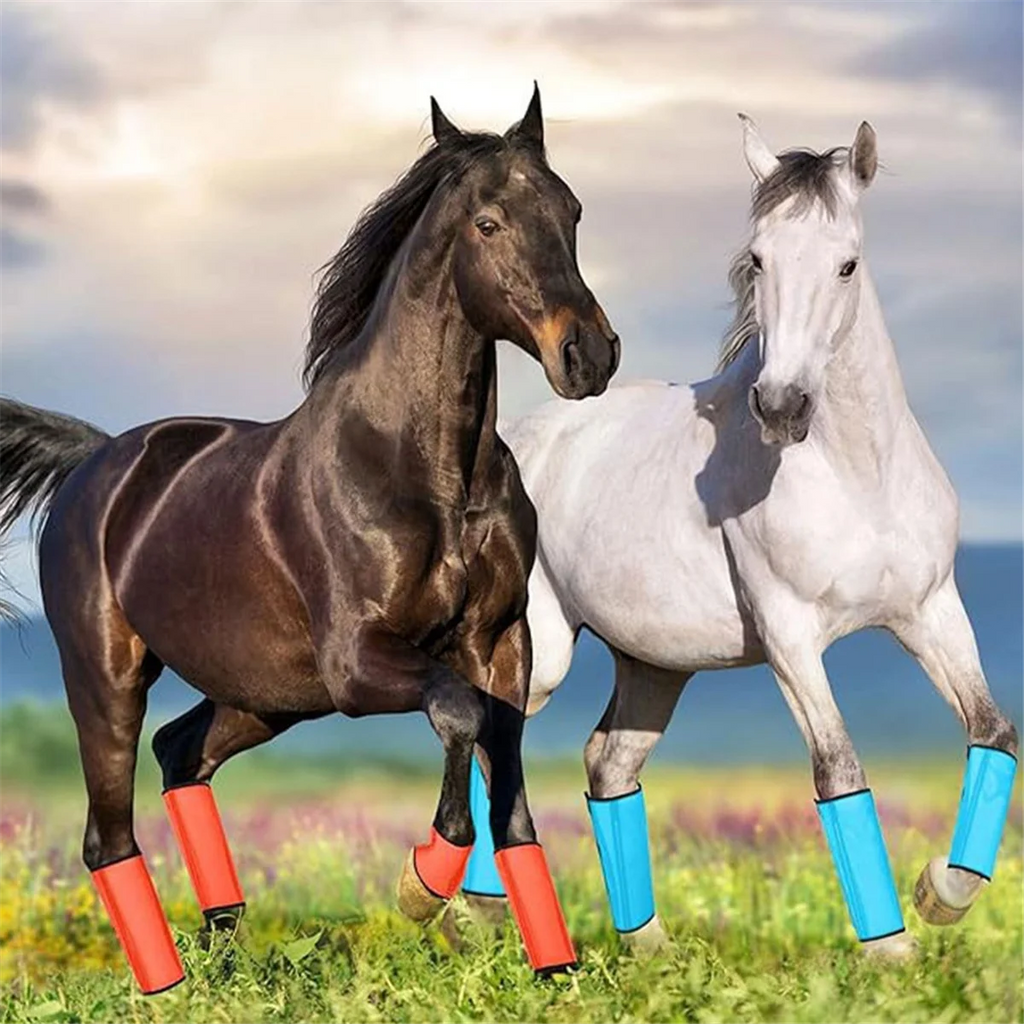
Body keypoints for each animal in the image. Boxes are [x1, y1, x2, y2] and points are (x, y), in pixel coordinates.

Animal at [0, 86, 620, 992]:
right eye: (489, 222)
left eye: (572, 210)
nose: (590, 355)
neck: (428, 472)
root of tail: (95, 461)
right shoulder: (359, 661)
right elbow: (458, 715)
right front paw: (421, 884)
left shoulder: (501, 643)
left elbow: (510, 798)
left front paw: (556, 972)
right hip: (109, 679)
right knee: (107, 835)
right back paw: (168, 985)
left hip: (268, 696)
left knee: (181, 753)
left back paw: (224, 953)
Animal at [457, 116, 1018, 958]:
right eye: (758, 258)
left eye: (847, 263)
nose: (782, 405)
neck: (857, 476)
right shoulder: (791, 638)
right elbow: (839, 769)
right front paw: (892, 949)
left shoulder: (930, 612)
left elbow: (994, 732)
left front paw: (940, 893)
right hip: (544, 652)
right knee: (495, 741)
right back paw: (461, 905)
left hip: (656, 666)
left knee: (606, 763)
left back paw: (646, 947)